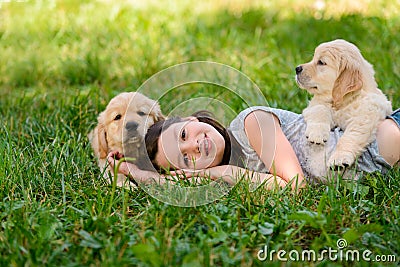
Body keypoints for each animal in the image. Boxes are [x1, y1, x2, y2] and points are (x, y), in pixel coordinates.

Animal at [296, 38, 392, 169]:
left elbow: (350, 136)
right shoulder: (315, 104)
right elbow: (320, 110)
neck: (343, 101)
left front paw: (339, 158)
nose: (297, 69)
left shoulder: (366, 115)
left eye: (321, 62)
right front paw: (317, 133)